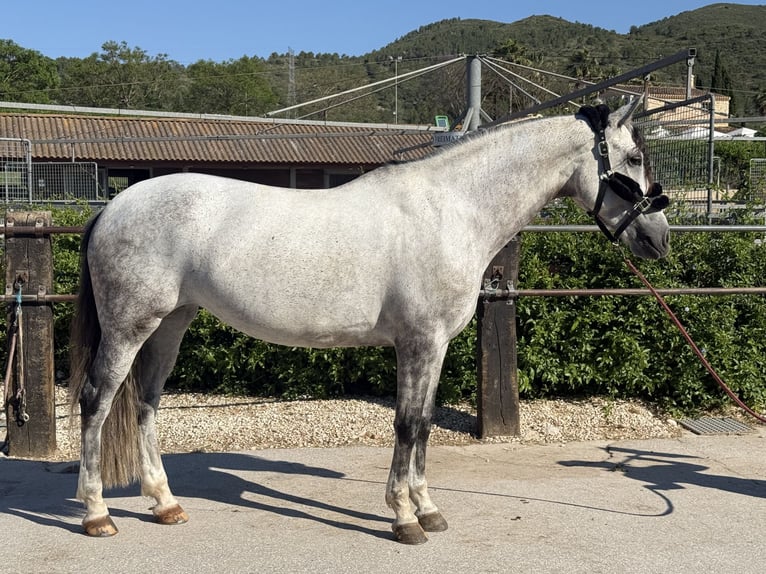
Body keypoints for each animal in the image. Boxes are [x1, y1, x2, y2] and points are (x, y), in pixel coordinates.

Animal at [69, 102, 670, 545]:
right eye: (633, 157)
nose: (658, 239)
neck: (451, 210)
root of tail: (114, 205)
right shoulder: (417, 343)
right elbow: (405, 425)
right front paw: (403, 519)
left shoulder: (435, 346)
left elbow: (423, 424)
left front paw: (428, 510)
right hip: (129, 326)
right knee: (98, 400)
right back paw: (97, 515)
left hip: (170, 324)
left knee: (145, 402)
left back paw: (165, 503)